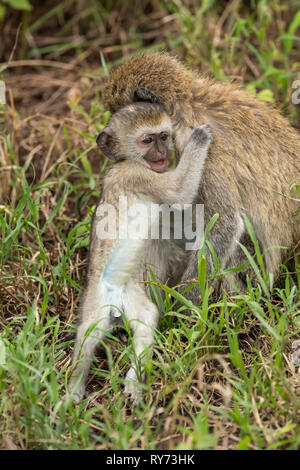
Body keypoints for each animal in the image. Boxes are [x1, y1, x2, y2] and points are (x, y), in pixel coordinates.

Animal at [68, 103, 213, 404]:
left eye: (164, 136)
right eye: (148, 140)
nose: (161, 152)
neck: (125, 161)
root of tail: (115, 302)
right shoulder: (136, 175)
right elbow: (179, 193)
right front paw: (199, 137)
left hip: (131, 292)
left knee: (145, 318)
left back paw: (133, 382)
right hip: (96, 298)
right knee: (89, 334)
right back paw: (74, 388)